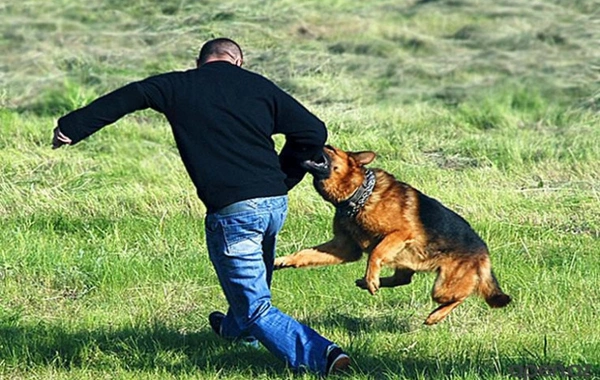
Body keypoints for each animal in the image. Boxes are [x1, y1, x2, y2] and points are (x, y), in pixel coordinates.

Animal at [276, 145, 510, 324]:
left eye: (330, 148)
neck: (359, 195)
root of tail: (483, 251)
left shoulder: (400, 233)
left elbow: (375, 254)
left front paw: (371, 277)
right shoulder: (344, 248)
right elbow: (306, 254)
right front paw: (285, 260)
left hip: (442, 287)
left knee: (462, 295)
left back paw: (435, 315)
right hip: (410, 263)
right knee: (403, 280)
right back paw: (371, 282)